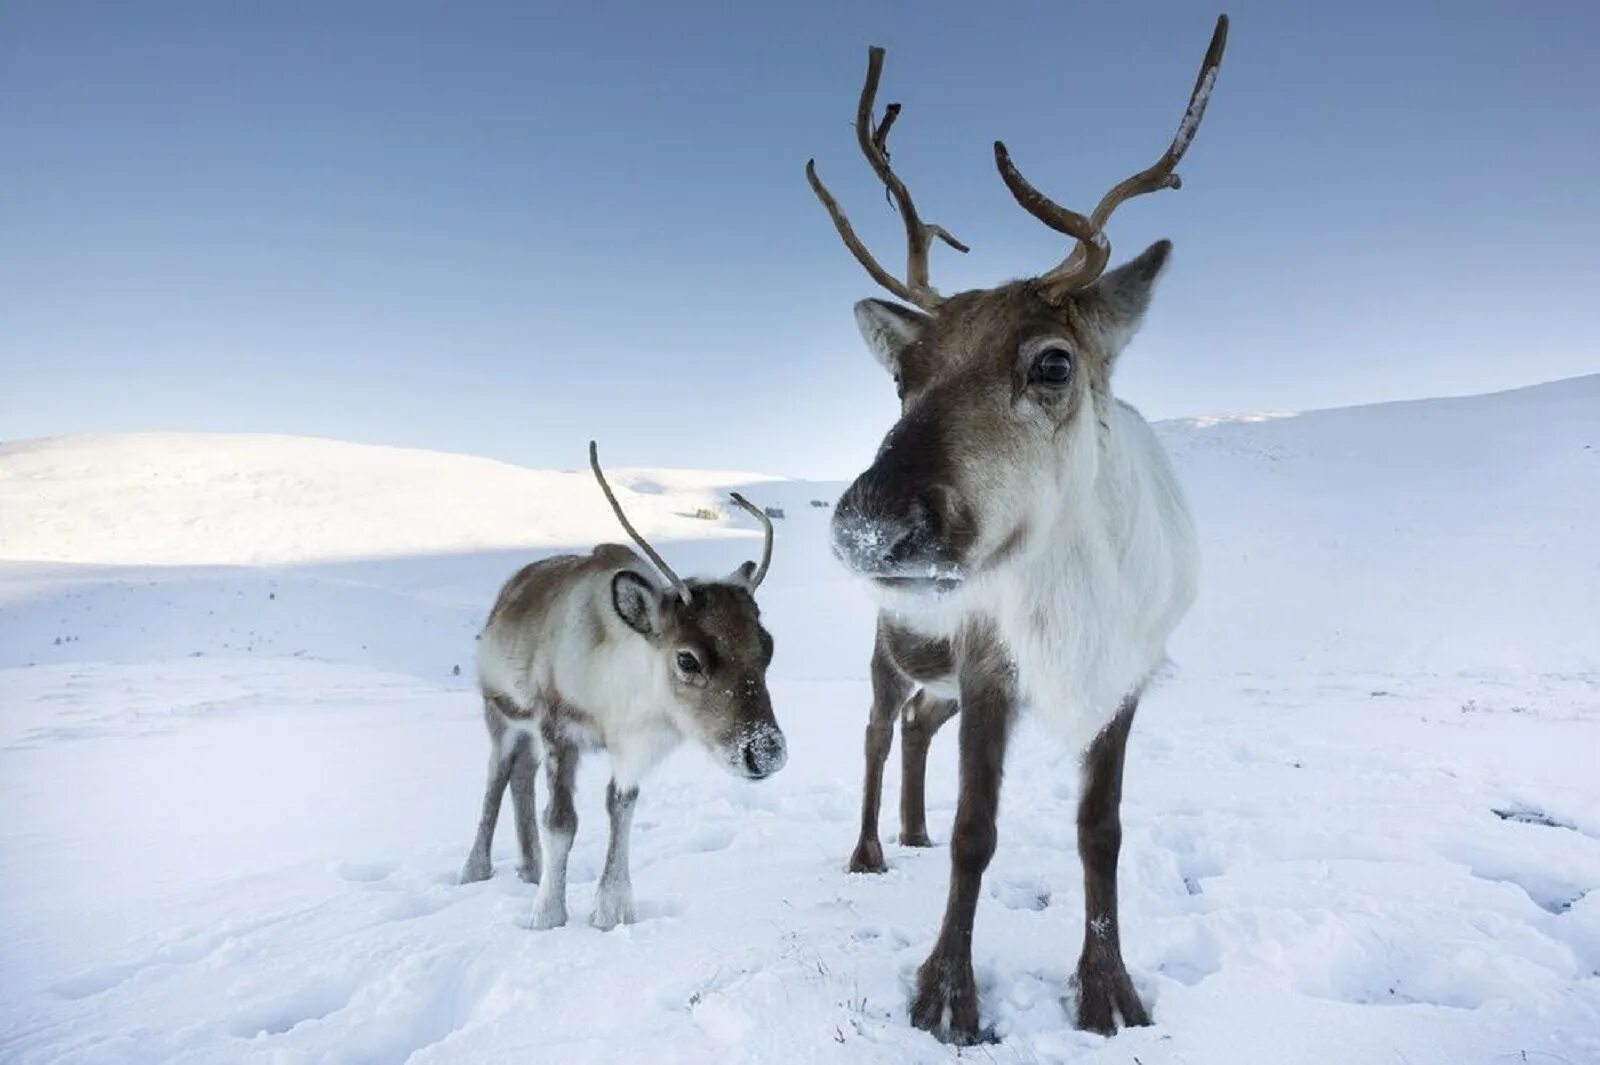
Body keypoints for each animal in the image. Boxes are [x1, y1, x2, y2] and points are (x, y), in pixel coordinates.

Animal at [460, 438, 784, 921]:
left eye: (768, 646)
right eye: (687, 659)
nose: (765, 751)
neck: (615, 702)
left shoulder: (631, 747)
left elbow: (621, 806)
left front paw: (611, 911)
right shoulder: (557, 729)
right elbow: (561, 821)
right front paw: (547, 915)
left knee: (521, 774)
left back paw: (530, 870)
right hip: (500, 714)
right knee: (497, 778)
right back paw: (475, 870)